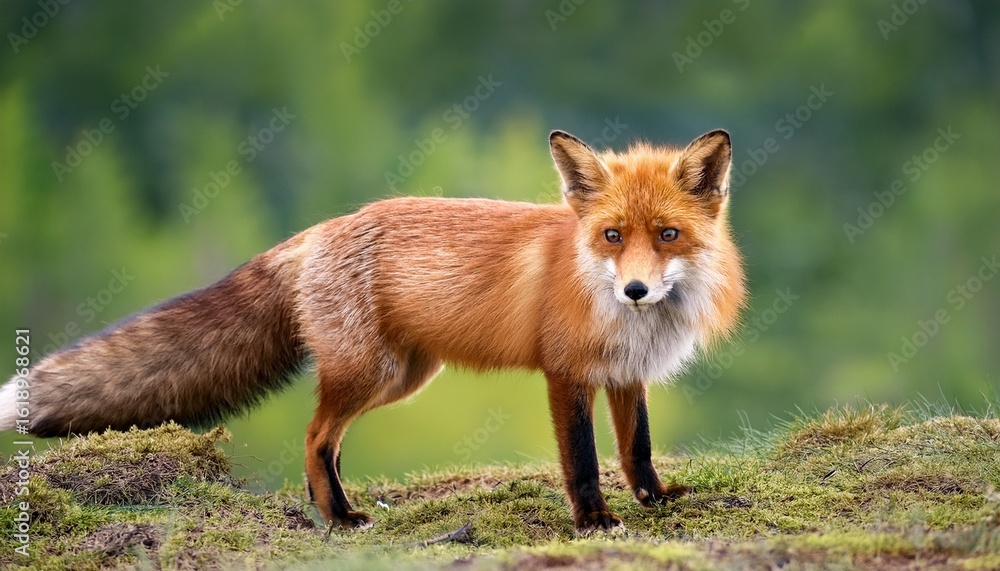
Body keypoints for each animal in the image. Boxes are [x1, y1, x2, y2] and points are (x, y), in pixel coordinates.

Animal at [0, 128, 745, 531]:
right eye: (613, 235)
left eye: (668, 235)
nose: (635, 289)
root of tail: (321, 228)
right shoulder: (567, 374)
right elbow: (585, 462)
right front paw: (592, 521)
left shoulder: (624, 374)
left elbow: (636, 448)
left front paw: (654, 499)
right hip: (368, 373)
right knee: (314, 436)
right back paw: (339, 518)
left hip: (399, 377)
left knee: (327, 444)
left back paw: (331, 507)